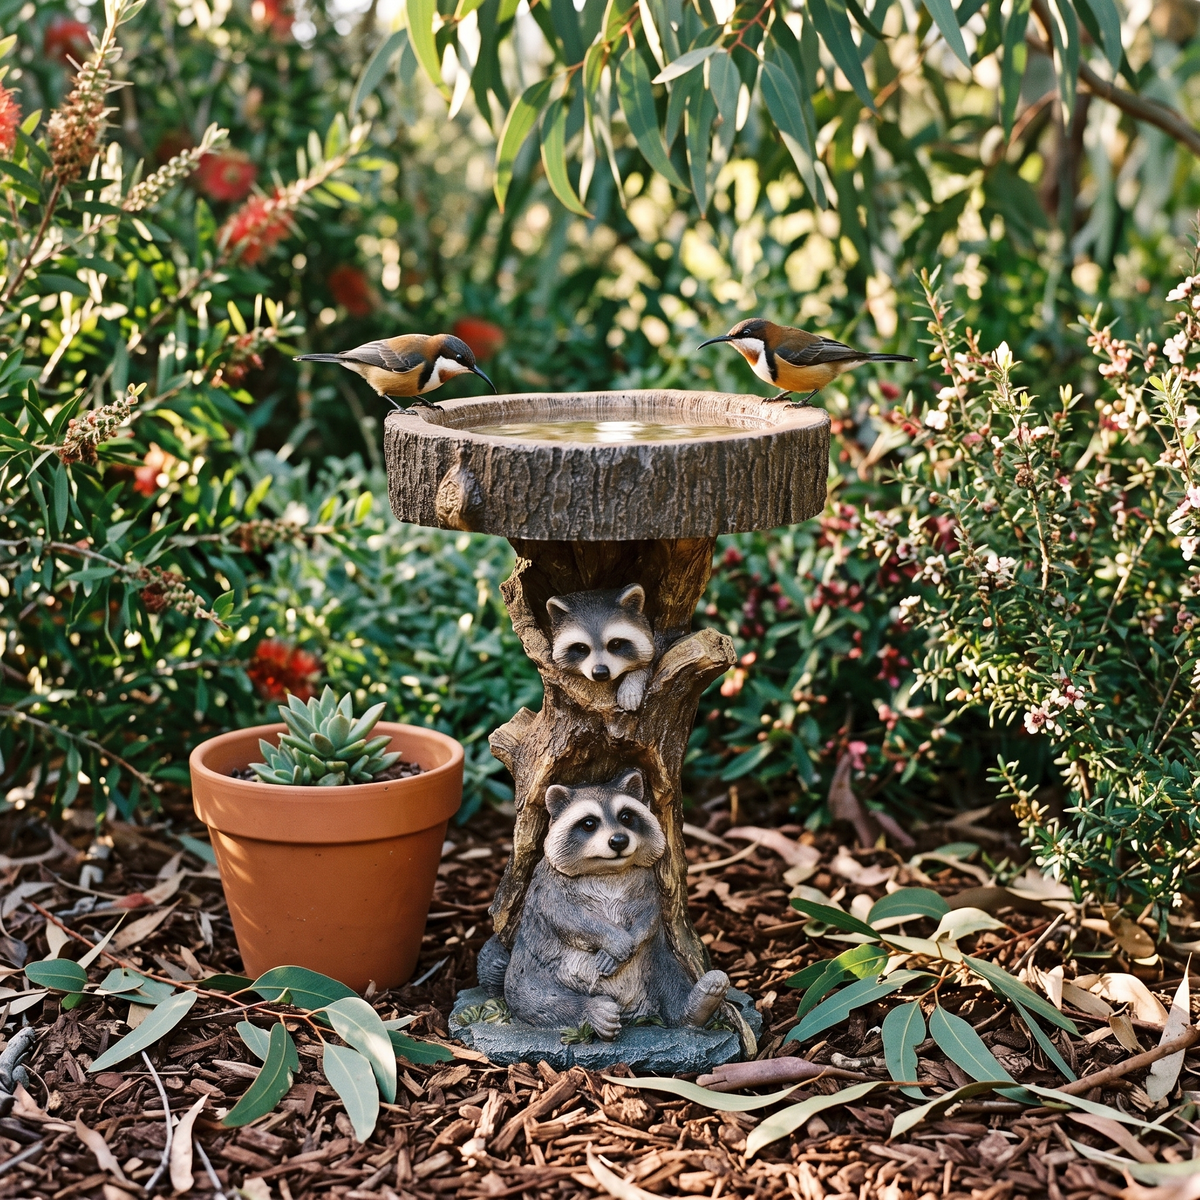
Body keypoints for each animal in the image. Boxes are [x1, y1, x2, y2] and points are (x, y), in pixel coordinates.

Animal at [477, 769, 729, 1038]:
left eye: (626, 817)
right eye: (589, 823)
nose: (619, 841)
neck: (607, 871)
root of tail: (631, 1009)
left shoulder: (647, 880)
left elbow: (650, 915)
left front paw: (630, 939)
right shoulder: (547, 884)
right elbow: (568, 917)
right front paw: (612, 939)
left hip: (657, 960)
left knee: (672, 979)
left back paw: (697, 1004)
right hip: (531, 968)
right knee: (532, 997)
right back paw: (593, 1011)